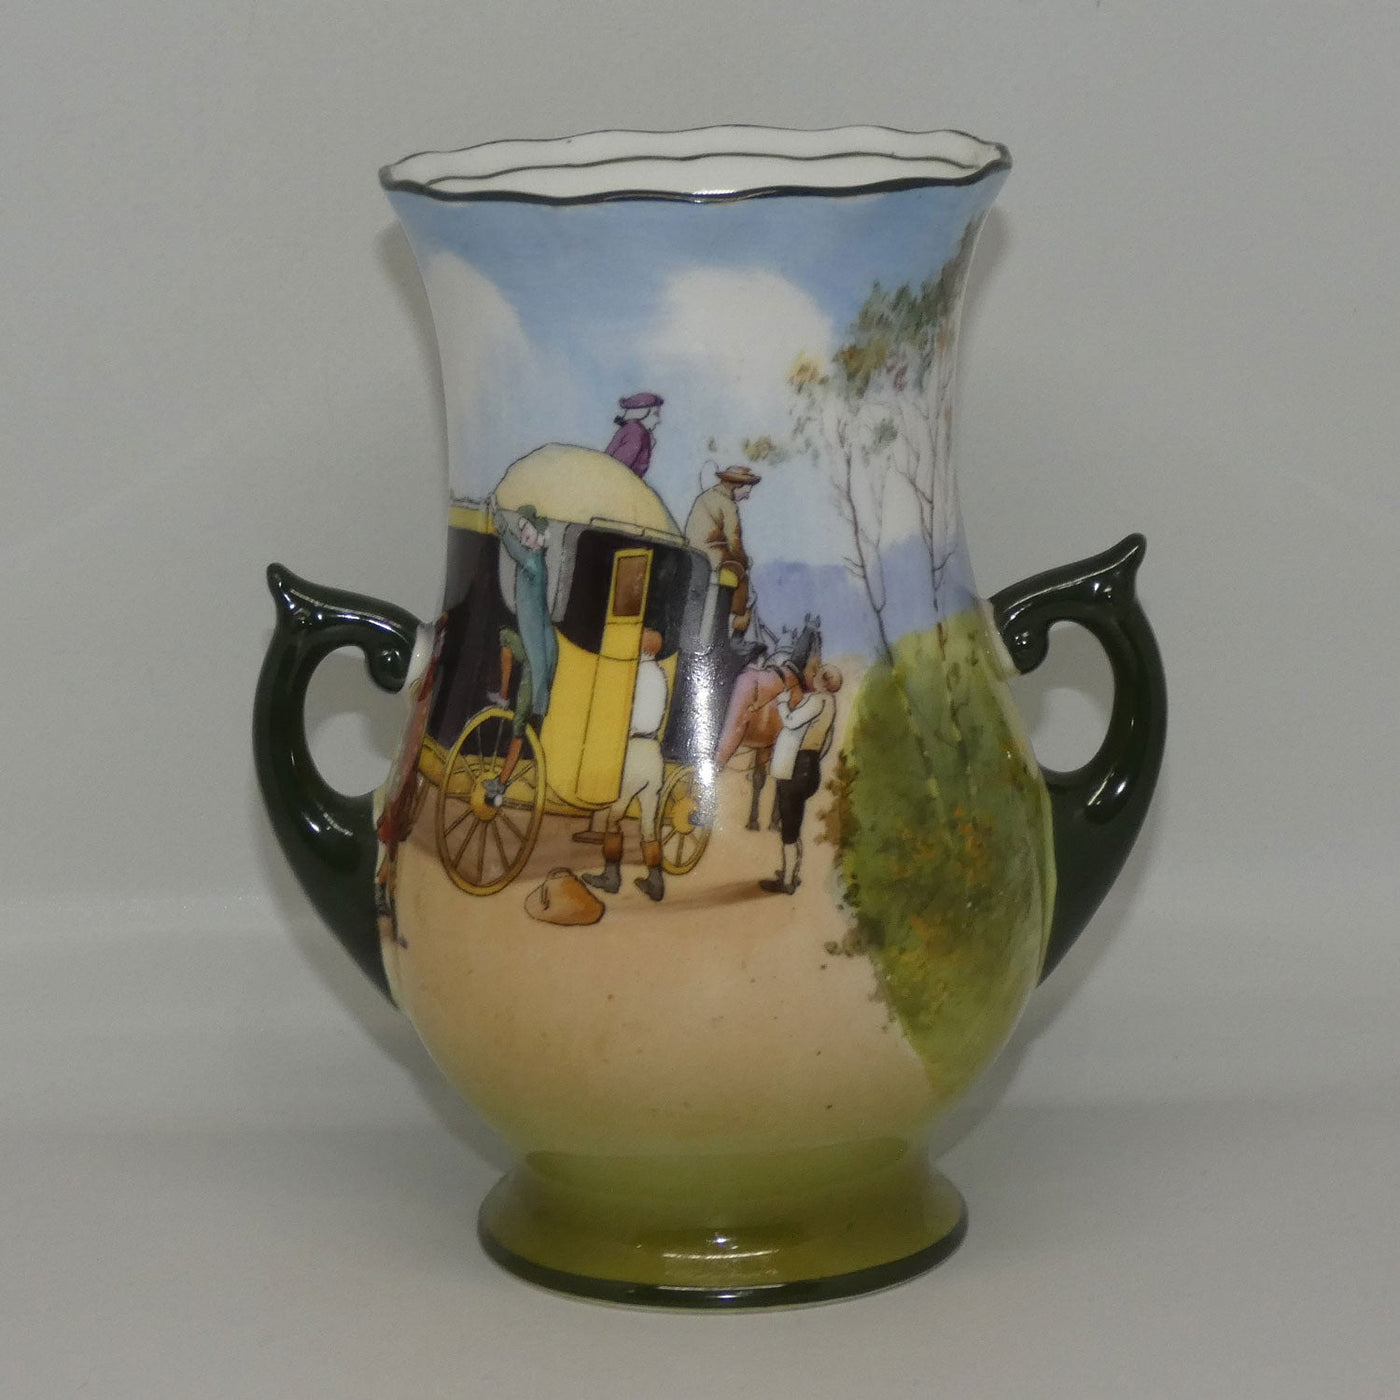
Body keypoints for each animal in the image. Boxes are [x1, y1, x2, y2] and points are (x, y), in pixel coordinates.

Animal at [713, 614, 822, 830]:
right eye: (820, 640)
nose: (820, 667)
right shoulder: (773, 745)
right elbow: (776, 779)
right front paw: (772, 821)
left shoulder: (763, 745)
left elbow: (760, 778)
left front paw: (756, 820)